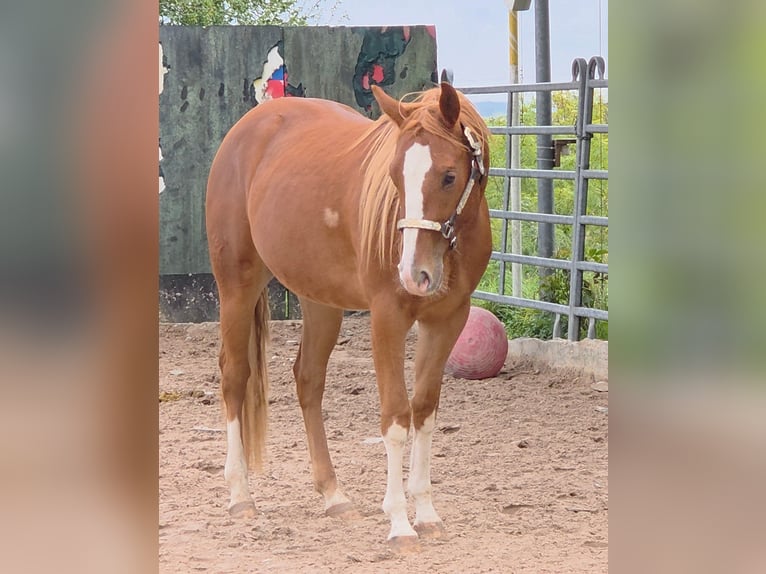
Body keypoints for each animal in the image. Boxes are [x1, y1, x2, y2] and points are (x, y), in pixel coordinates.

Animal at [205, 81, 492, 550]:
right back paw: (240, 495)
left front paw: (427, 513)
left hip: (320, 300)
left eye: (450, 175)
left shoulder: (448, 320)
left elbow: (424, 411)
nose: (413, 274)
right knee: (234, 377)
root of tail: (247, 128)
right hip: (236, 284)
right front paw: (399, 523)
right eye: (394, 176)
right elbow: (395, 417)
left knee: (308, 380)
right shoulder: (387, 318)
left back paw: (333, 495)